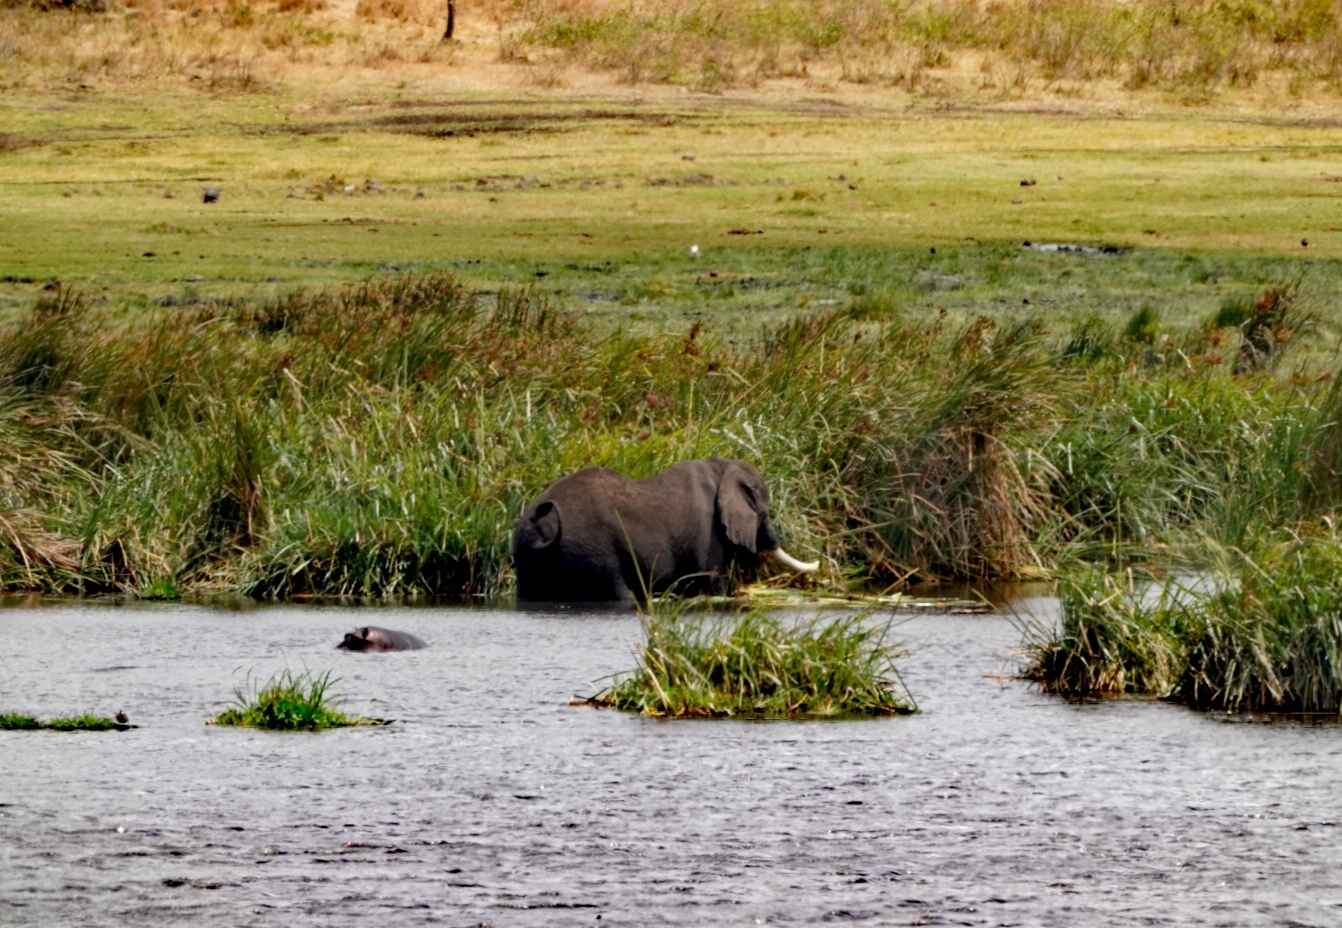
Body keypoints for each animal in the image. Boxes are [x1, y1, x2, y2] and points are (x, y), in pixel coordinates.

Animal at [509, 461, 805, 606]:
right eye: (763, 507)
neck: (721, 468)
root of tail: (538, 527)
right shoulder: (707, 532)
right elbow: (711, 582)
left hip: (528, 558)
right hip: (591, 551)